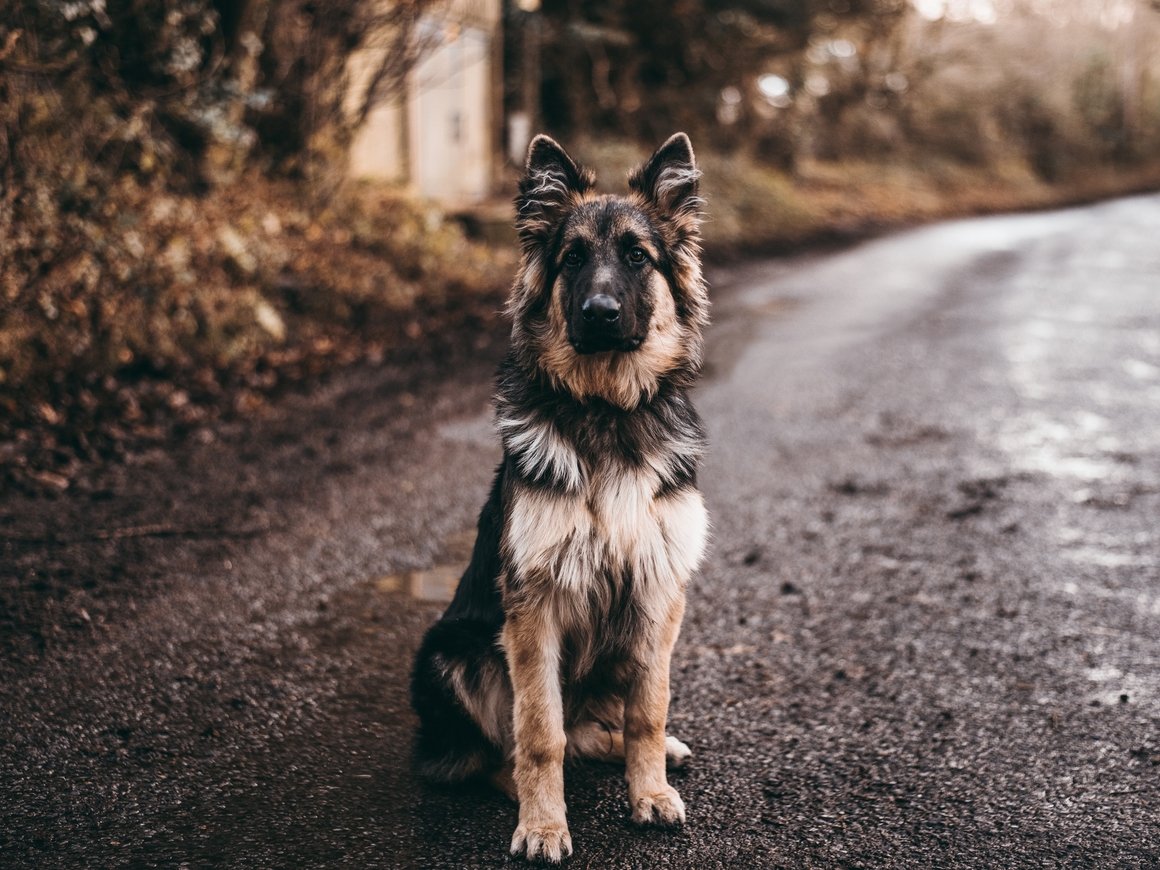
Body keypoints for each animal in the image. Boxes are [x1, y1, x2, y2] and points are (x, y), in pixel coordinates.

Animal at [412, 134, 709, 867]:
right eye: (572, 258)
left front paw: (648, 790)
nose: (599, 313)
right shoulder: (533, 607)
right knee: (500, 751)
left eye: (637, 256)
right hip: (451, 653)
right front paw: (544, 824)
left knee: (598, 728)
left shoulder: (658, 589)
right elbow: (538, 732)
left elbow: (648, 708)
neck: (605, 410)